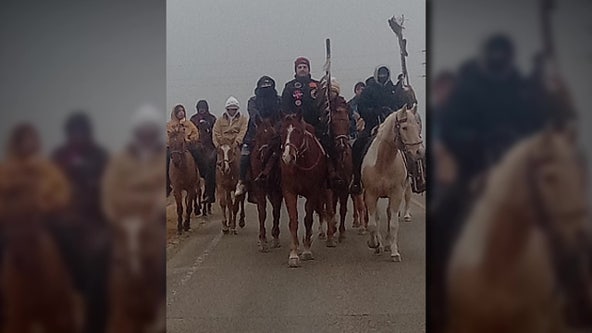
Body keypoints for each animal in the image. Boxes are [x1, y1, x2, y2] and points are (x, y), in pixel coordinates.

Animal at [251, 118, 284, 250]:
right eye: (257, 135)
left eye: (272, 136)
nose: (264, 156)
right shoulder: (259, 188)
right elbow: (262, 212)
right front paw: (263, 240)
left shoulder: (277, 190)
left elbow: (276, 211)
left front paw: (275, 237)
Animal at [280, 113, 336, 266]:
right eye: (282, 132)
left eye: (298, 132)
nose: (287, 157)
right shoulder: (289, 192)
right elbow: (294, 221)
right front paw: (294, 254)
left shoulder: (312, 193)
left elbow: (308, 219)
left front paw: (306, 251)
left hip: (326, 190)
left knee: (329, 211)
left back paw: (330, 238)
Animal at [364, 105, 424, 260]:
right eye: (404, 127)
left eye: (418, 126)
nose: (420, 152)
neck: (383, 163)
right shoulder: (370, 194)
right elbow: (372, 223)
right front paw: (374, 243)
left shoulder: (396, 194)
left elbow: (393, 224)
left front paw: (394, 251)